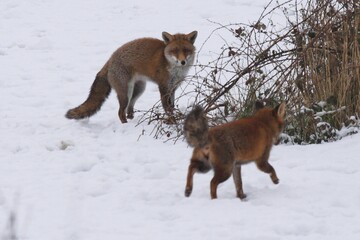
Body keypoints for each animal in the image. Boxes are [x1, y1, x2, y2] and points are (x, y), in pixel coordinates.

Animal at [66, 30, 198, 123]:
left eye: (186, 50)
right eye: (175, 51)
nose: (182, 62)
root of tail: (110, 58)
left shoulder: (173, 88)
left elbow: (172, 106)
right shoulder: (163, 87)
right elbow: (167, 108)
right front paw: (172, 120)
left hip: (139, 90)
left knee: (129, 109)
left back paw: (131, 118)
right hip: (126, 93)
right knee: (120, 112)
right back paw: (125, 124)